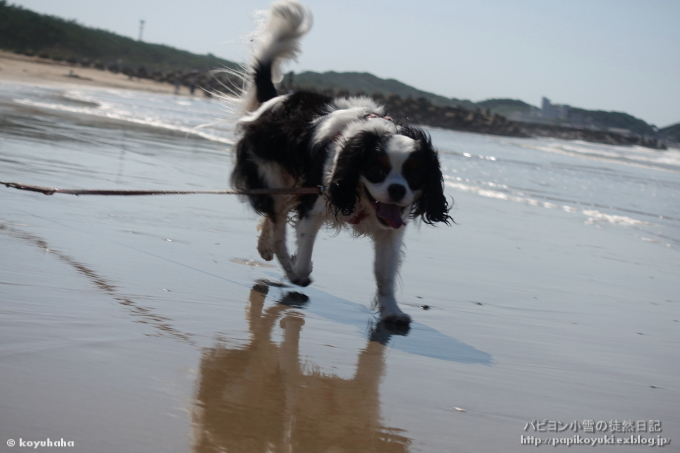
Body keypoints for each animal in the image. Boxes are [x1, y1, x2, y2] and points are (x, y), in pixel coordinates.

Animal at [230, 0, 452, 324]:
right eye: (376, 170)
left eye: (415, 176)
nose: (397, 190)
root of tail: (276, 101)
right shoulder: (314, 203)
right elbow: (304, 252)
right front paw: (298, 272)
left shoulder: (389, 229)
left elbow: (384, 274)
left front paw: (391, 311)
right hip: (272, 178)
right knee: (279, 226)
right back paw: (285, 265)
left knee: (272, 218)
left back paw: (265, 247)